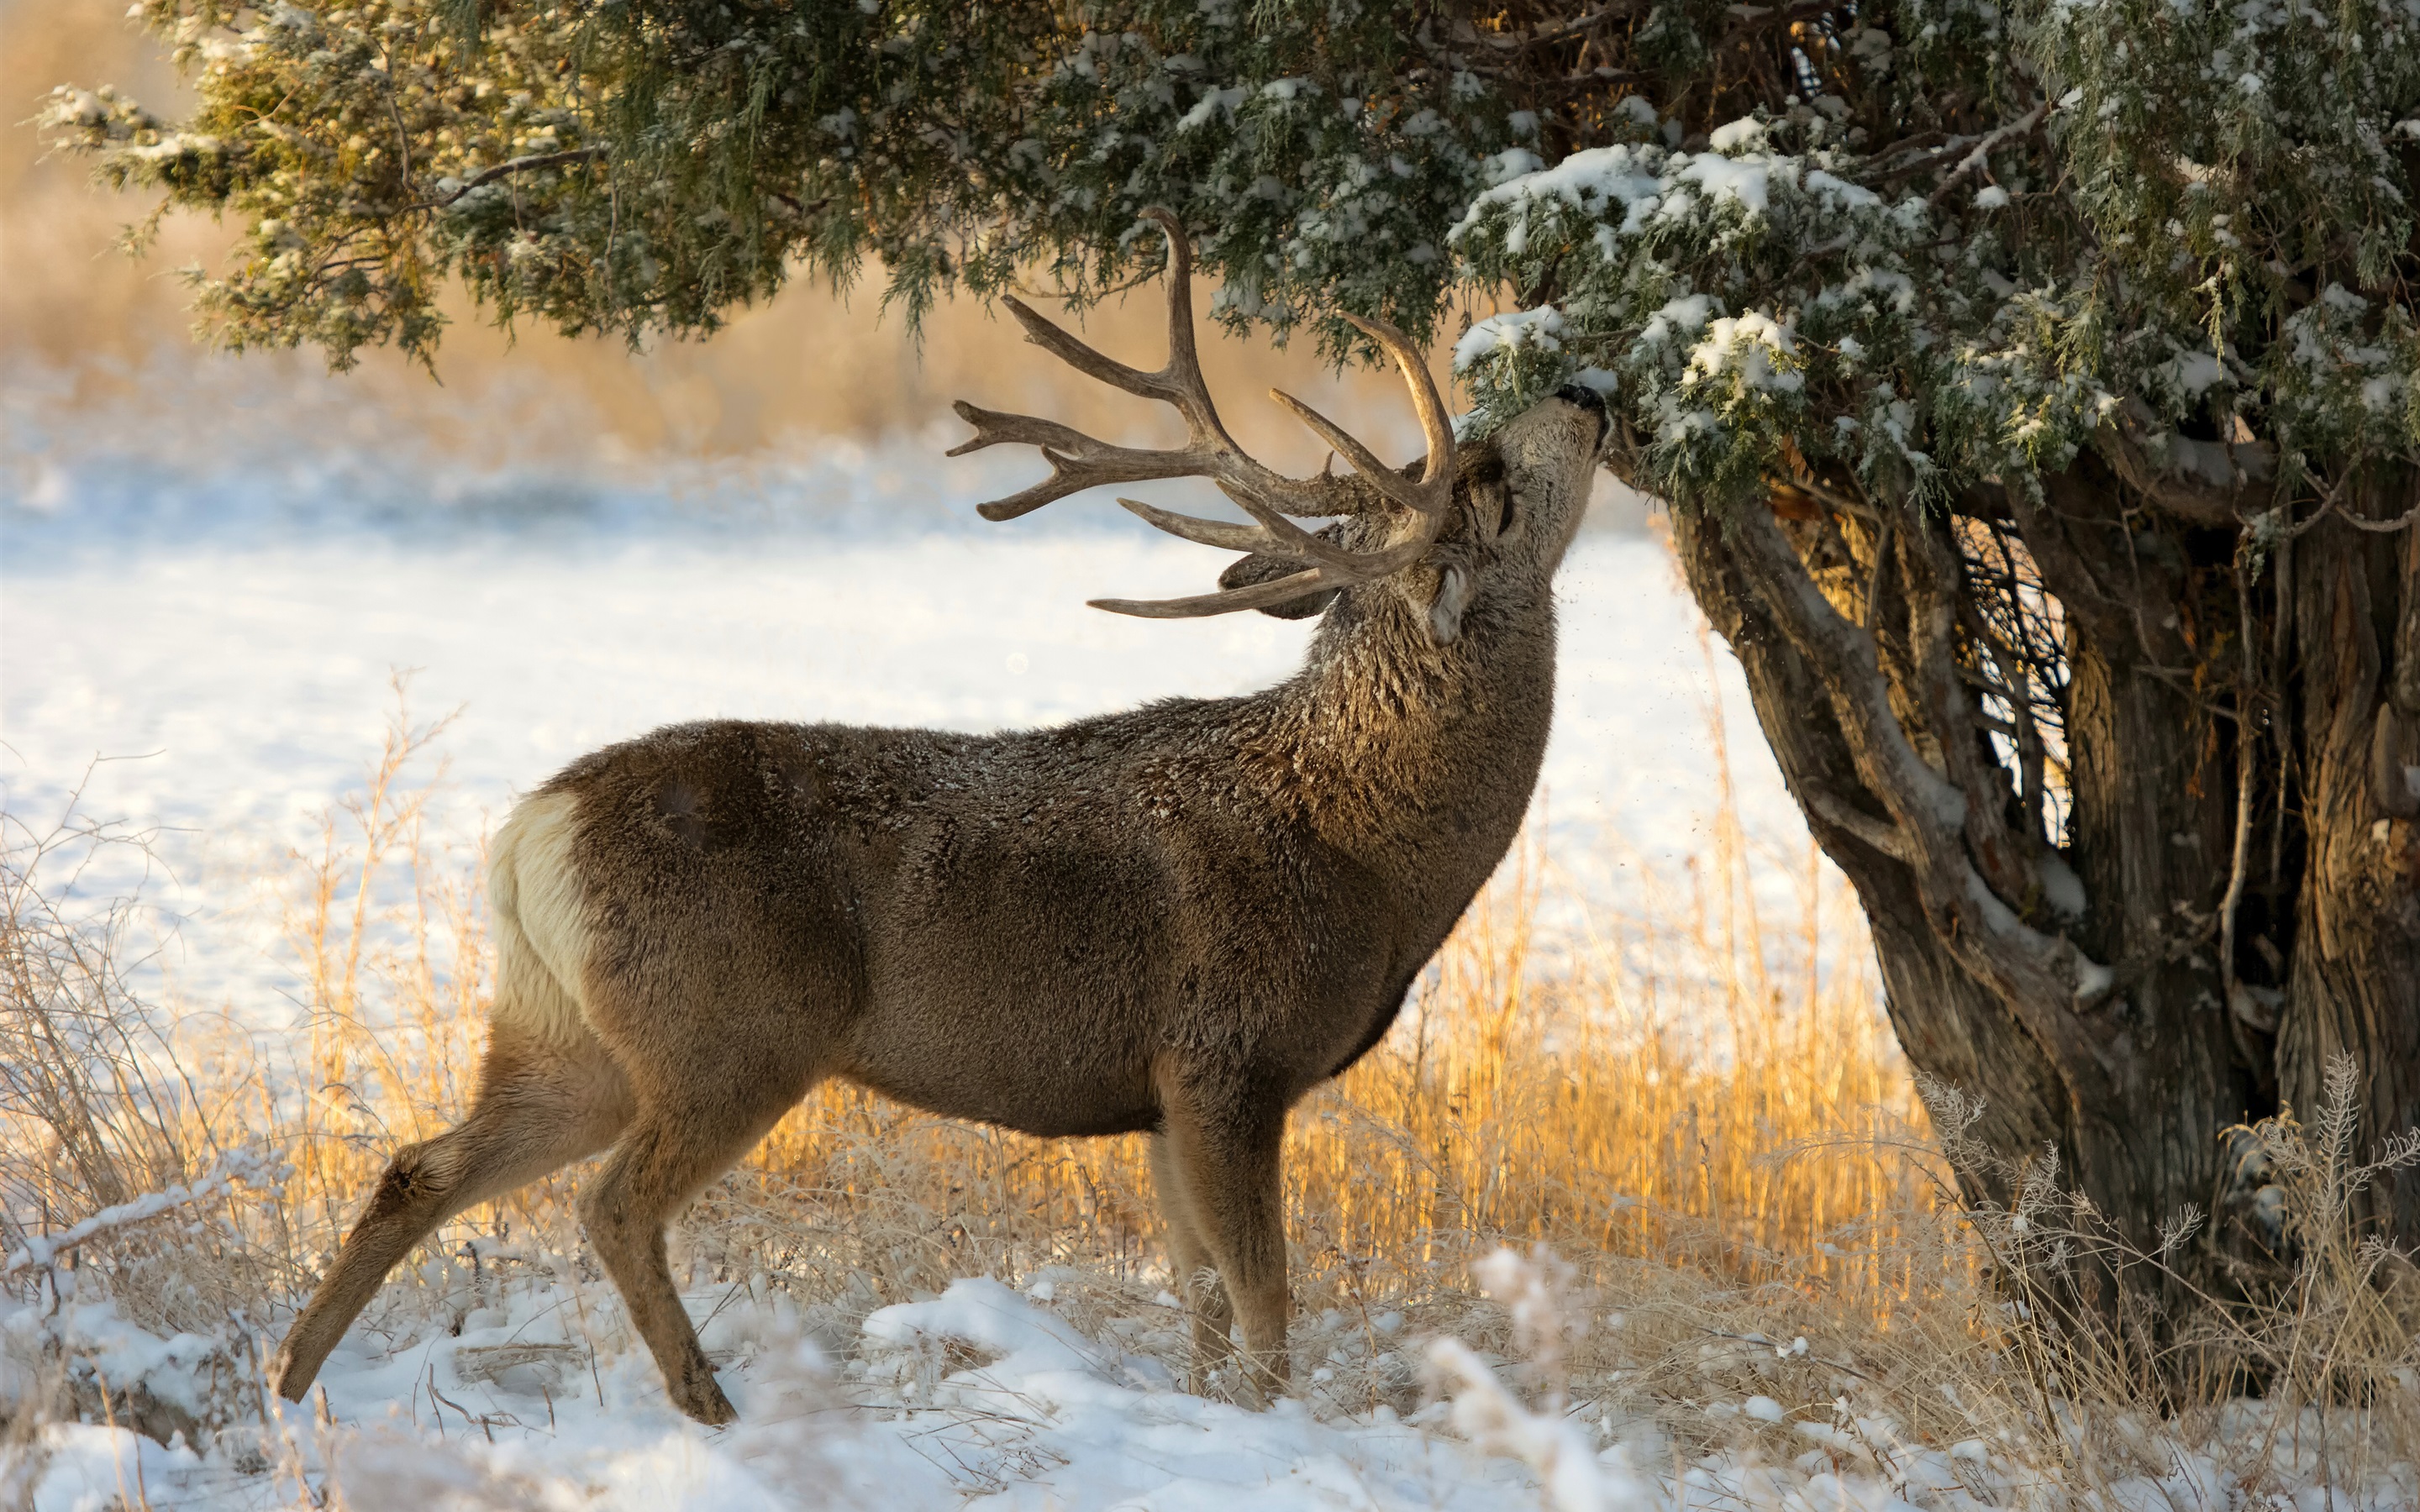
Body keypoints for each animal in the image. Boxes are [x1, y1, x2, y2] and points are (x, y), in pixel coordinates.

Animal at [265, 209, 1607, 1412]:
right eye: (1487, 482)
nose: (1587, 387)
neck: (1368, 849)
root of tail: (532, 832)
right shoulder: (1228, 1054)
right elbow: (1266, 1298)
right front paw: (1277, 1429)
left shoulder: (1161, 1092)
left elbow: (1203, 1303)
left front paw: (1210, 1411)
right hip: (734, 1030)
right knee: (611, 1202)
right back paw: (707, 1404)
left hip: (565, 1033)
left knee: (420, 1166)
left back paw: (290, 1389)